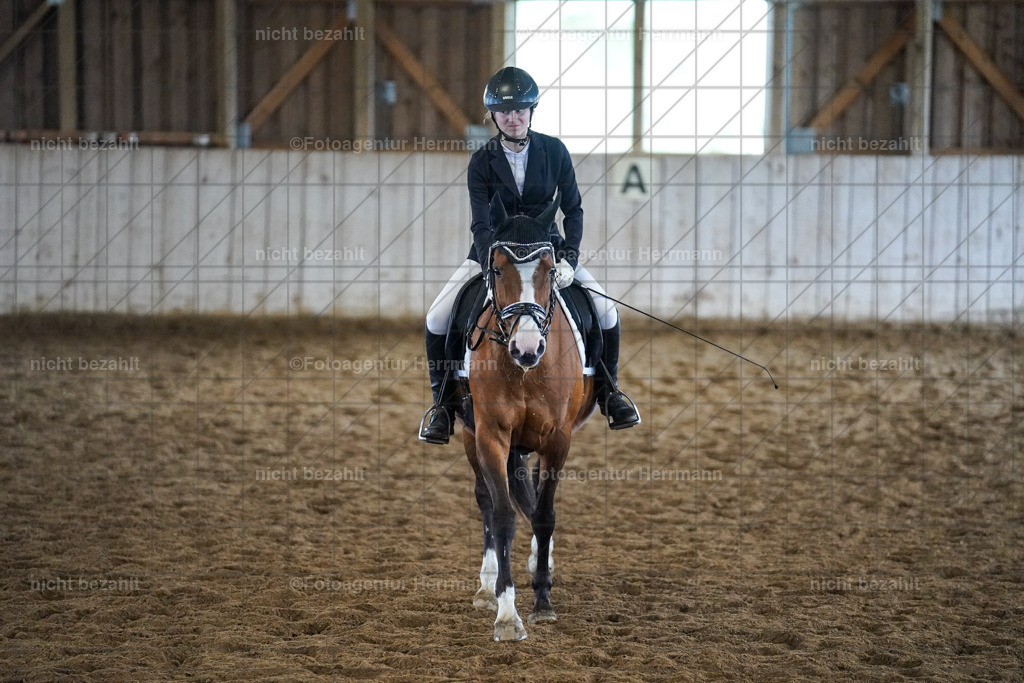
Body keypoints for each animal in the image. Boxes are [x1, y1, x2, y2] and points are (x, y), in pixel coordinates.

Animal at [456, 195, 598, 642]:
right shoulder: (490, 435)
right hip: (469, 434)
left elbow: (544, 513)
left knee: (535, 503)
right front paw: (507, 614)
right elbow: (503, 516)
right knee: (487, 500)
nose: (527, 349)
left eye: (551, 270)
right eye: (497, 269)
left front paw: (543, 600)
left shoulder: (557, 439)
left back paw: (542, 561)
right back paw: (486, 587)